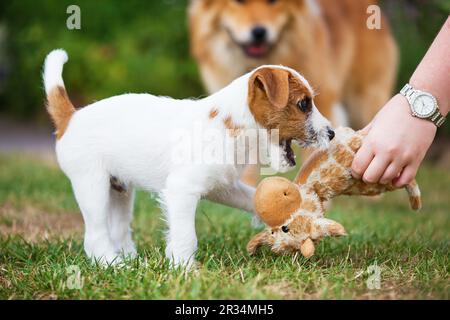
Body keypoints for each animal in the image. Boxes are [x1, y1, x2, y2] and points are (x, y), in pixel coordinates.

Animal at [43, 48, 334, 268]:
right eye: (304, 104)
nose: (331, 134)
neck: (230, 127)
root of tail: (70, 117)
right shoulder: (182, 190)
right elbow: (185, 235)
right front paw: (184, 268)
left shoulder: (223, 186)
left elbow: (253, 198)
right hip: (92, 186)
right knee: (95, 235)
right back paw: (113, 265)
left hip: (120, 191)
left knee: (119, 228)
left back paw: (131, 260)